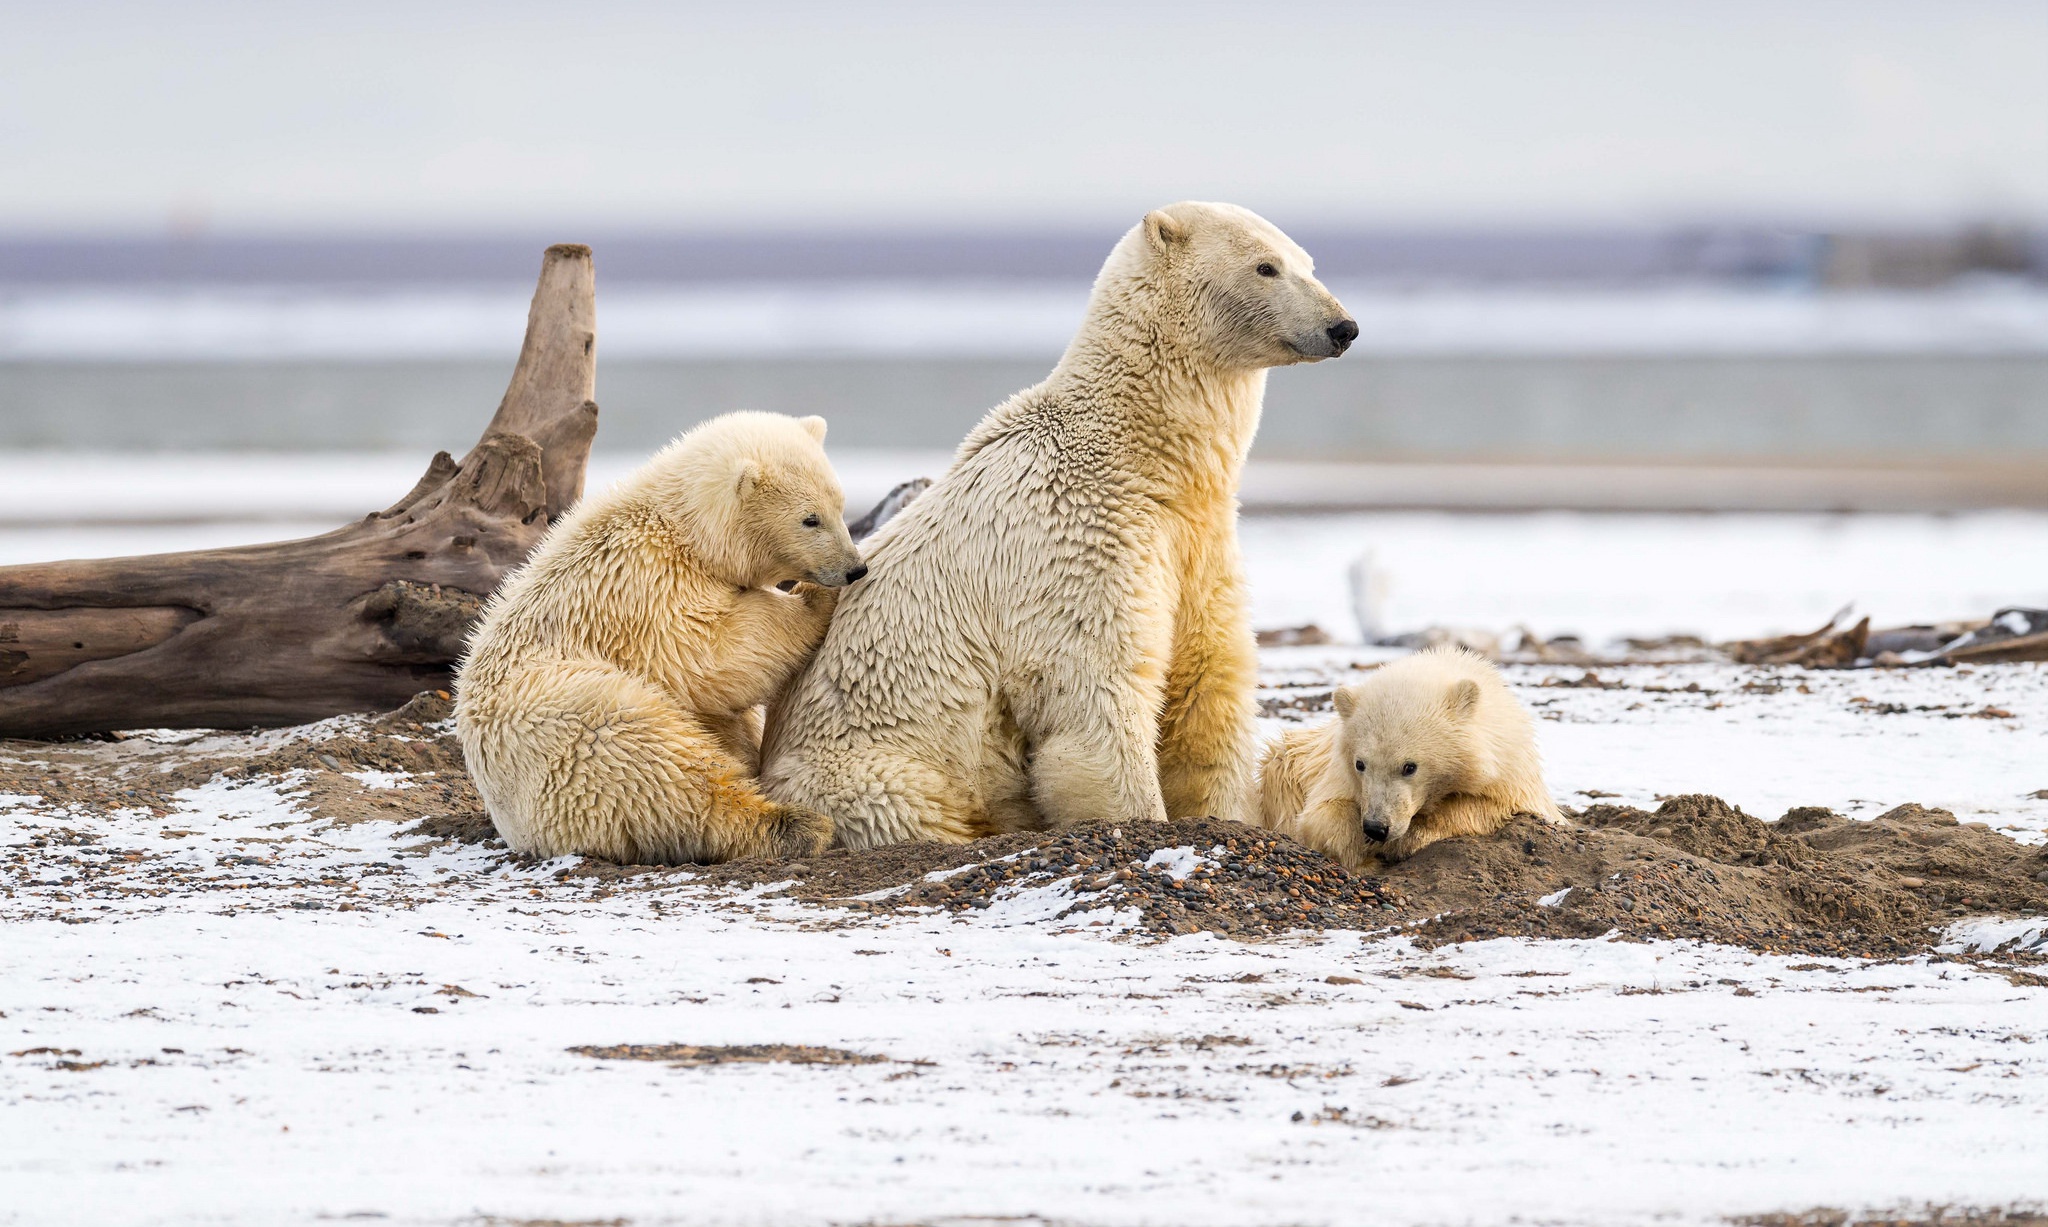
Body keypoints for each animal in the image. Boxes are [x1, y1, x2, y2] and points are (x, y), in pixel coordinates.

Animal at [761, 203, 1351, 856]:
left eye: (1307, 261)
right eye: (1266, 266)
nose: (1343, 327)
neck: (1140, 460)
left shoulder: (1199, 542)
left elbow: (1206, 682)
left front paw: (1225, 814)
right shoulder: (1080, 548)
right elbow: (1098, 702)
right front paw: (1143, 817)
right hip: (869, 768)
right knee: (907, 803)